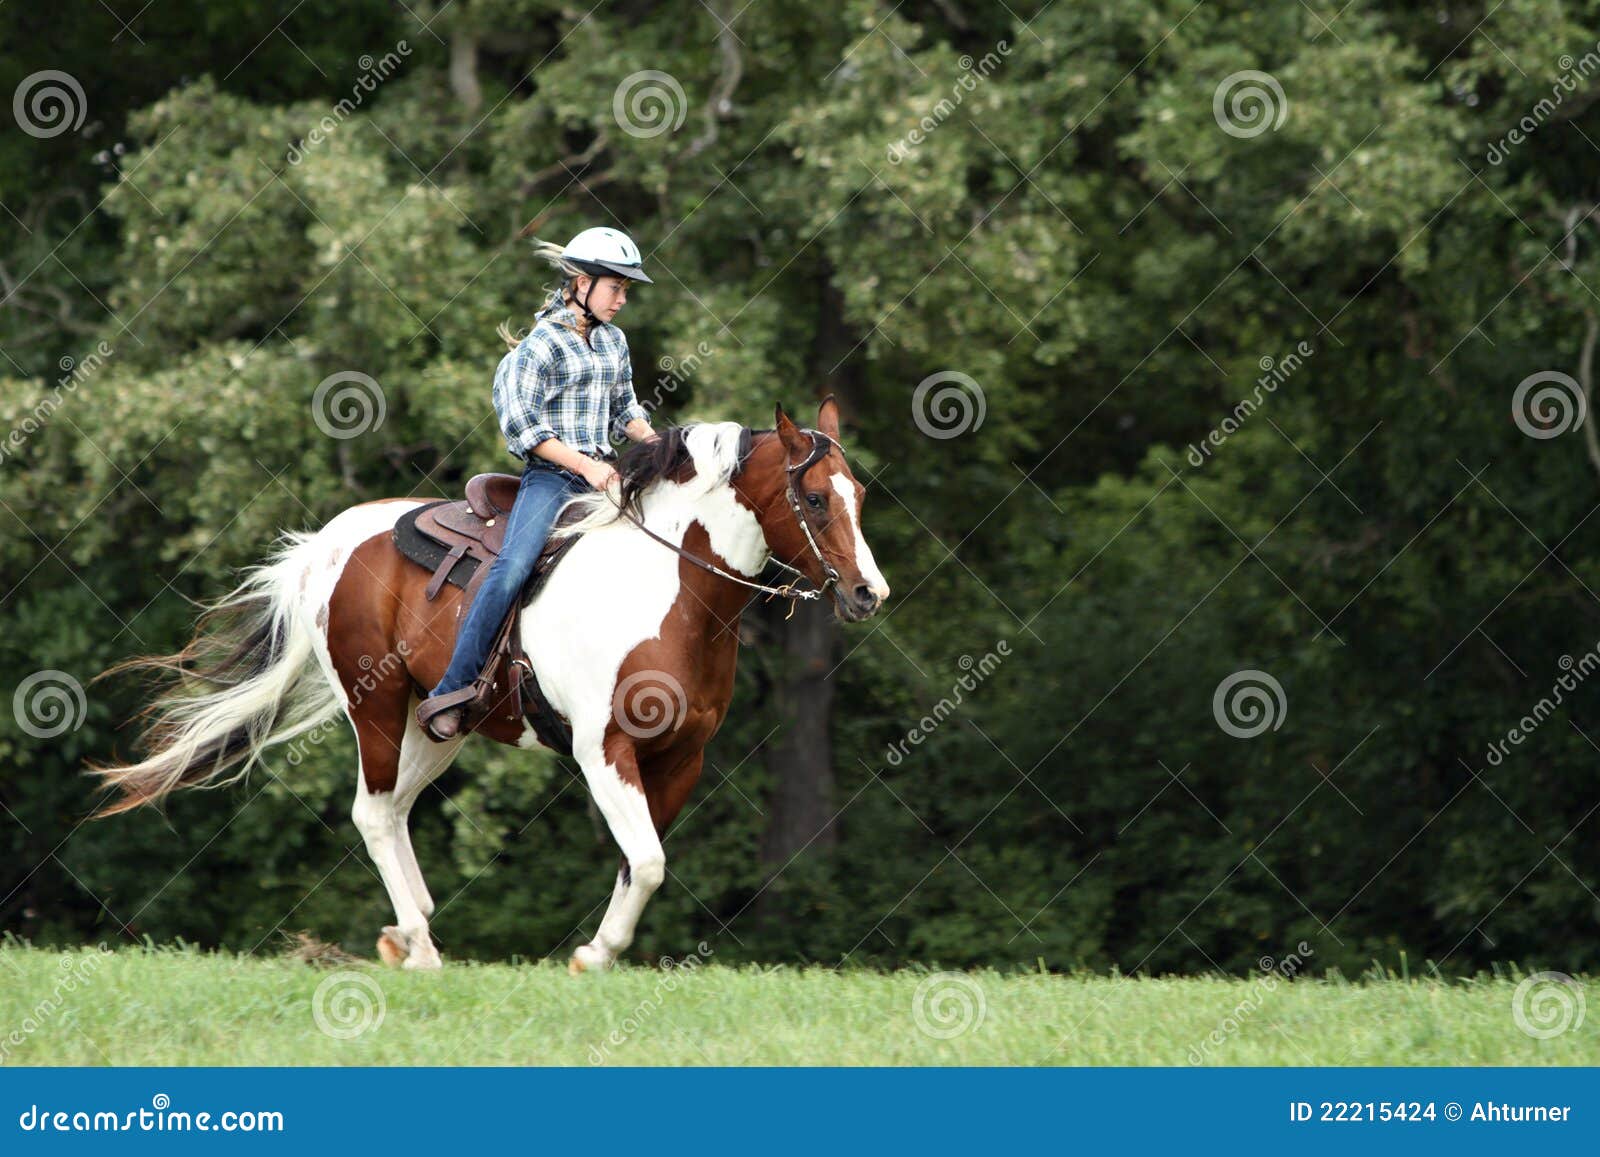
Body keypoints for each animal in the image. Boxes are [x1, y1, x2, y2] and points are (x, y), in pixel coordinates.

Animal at [91, 399, 888, 971]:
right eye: (816, 499)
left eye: (858, 494)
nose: (868, 593)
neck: (669, 589)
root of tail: (328, 543)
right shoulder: (604, 750)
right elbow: (649, 861)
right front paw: (594, 955)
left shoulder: (680, 759)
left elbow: (638, 864)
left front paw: (600, 952)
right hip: (375, 706)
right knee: (373, 813)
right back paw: (420, 946)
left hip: (437, 725)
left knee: (398, 810)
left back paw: (405, 930)